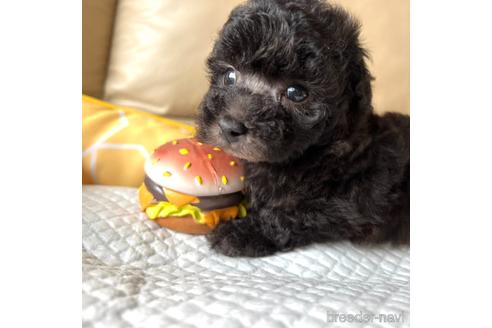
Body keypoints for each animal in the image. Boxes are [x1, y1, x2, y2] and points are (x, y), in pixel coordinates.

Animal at [197, 0, 412, 256]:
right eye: (230, 75)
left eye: (296, 93)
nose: (230, 126)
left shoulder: (351, 202)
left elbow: (293, 214)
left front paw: (242, 233)